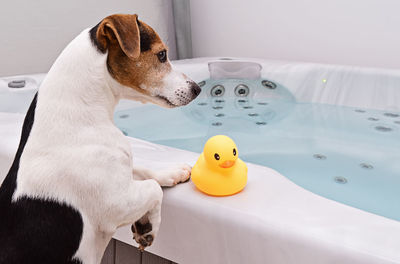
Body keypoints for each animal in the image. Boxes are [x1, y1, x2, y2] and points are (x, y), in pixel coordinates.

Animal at [0, 13, 200, 264]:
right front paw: (147, 226)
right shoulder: (116, 203)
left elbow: (144, 170)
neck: (79, 111)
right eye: (162, 54)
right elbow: (153, 188)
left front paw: (174, 172)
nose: (197, 89)